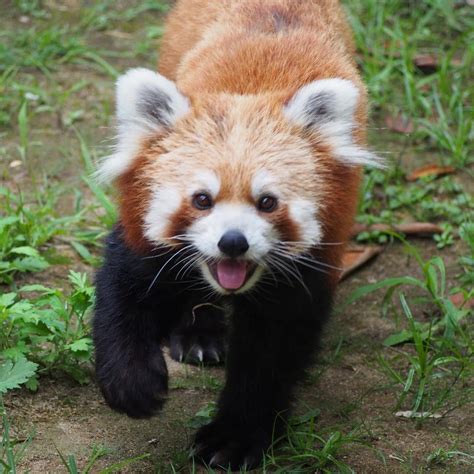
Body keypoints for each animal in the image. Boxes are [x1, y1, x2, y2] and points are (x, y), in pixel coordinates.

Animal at [93, 0, 382, 466]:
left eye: (267, 202)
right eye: (202, 199)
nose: (232, 242)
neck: (250, 91)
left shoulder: (315, 254)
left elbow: (271, 349)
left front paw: (235, 436)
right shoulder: (141, 224)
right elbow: (124, 290)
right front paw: (132, 384)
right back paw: (199, 333)